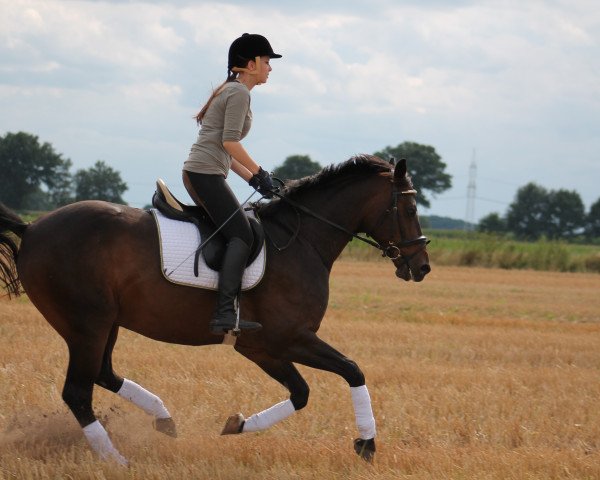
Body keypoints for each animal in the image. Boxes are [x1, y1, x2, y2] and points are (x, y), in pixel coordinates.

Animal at [1, 156, 432, 464]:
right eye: (410, 209)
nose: (423, 266)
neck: (302, 240)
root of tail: (32, 227)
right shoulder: (284, 339)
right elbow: (350, 371)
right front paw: (367, 444)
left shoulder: (262, 347)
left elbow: (302, 392)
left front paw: (237, 425)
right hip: (87, 325)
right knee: (78, 392)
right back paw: (116, 460)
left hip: (105, 325)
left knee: (103, 374)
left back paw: (163, 418)